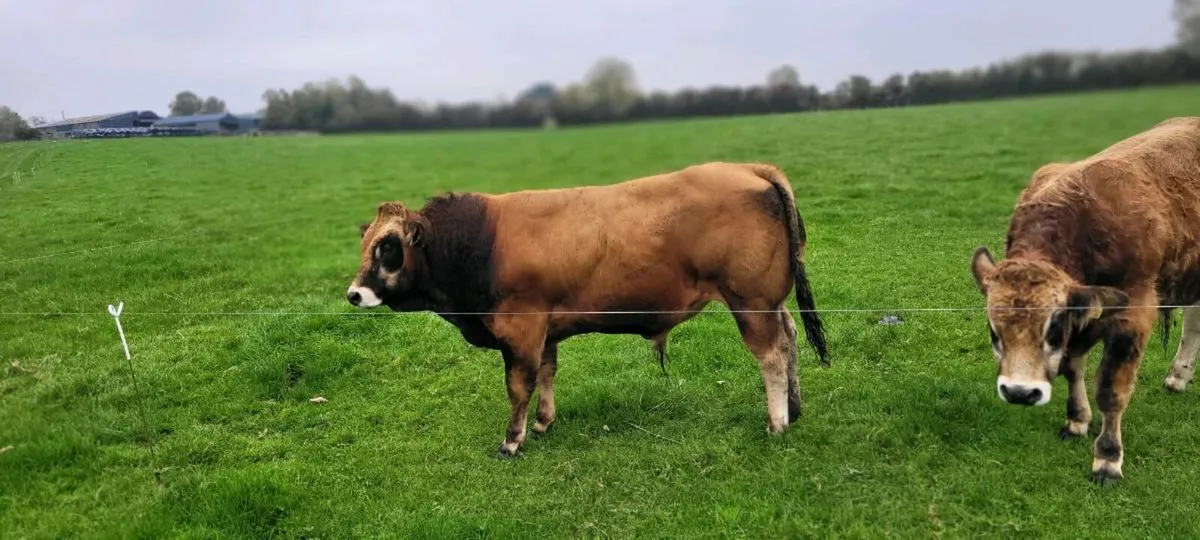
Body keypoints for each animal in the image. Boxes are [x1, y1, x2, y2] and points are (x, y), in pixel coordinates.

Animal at [346, 161, 830, 457]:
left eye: (388, 247)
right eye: (367, 242)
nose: (354, 293)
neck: (479, 243)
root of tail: (747, 168)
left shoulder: (520, 331)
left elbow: (518, 387)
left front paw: (513, 440)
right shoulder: (543, 330)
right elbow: (546, 373)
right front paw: (544, 423)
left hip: (750, 303)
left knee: (771, 355)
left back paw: (777, 422)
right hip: (771, 302)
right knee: (790, 341)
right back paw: (795, 408)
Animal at [969, 117, 1200, 486]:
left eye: (1051, 330)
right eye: (994, 332)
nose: (1020, 393)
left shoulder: (1132, 316)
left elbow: (1111, 389)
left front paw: (1107, 457)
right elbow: (1072, 367)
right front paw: (1077, 420)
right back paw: (1178, 377)